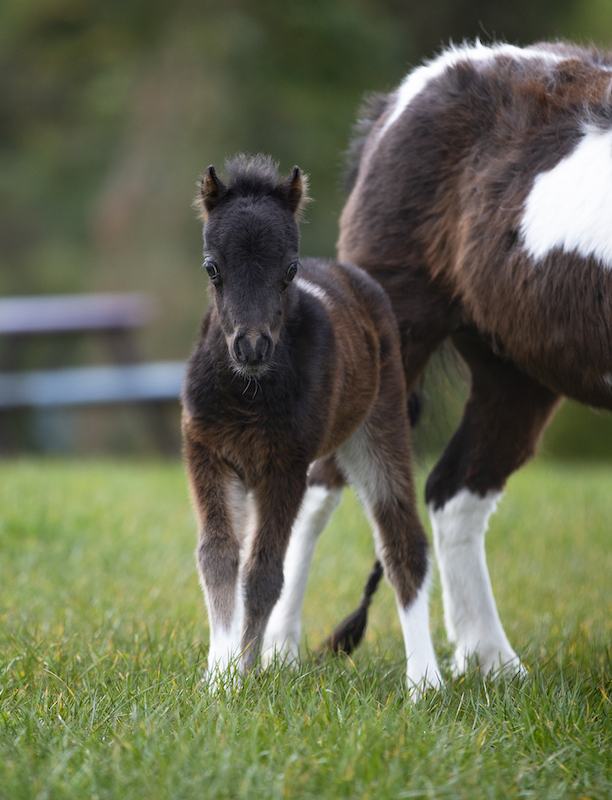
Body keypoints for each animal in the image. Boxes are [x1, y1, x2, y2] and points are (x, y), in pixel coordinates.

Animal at [182, 154, 441, 687]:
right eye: (212, 267)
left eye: (290, 270)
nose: (252, 346)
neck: (249, 392)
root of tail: (350, 274)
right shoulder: (207, 451)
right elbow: (219, 557)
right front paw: (219, 675)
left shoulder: (285, 464)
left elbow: (262, 574)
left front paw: (239, 676)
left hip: (378, 427)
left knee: (402, 541)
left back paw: (425, 683)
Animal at [317, 39, 612, 678]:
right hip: (391, 332)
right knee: (320, 480)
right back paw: (270, 653)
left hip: (518, 370)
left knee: (454, 492)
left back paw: (492, 664)